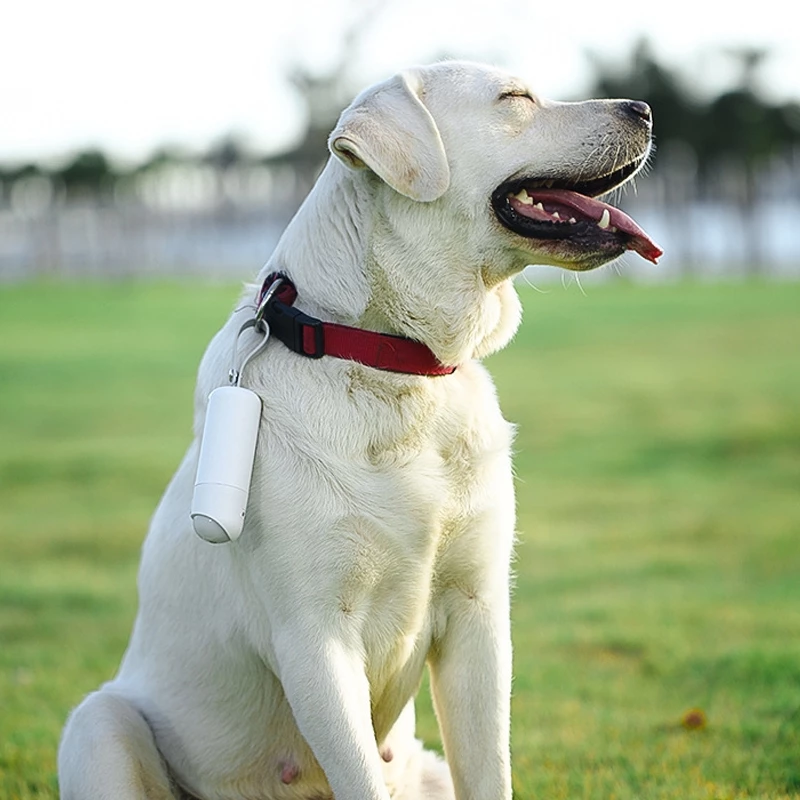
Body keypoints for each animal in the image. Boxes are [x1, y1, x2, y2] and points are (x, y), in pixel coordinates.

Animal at [59, 59, 660, 796]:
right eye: (515, 98)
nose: (644, 109)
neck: (390, 364)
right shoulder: (315, 638)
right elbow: (359, 773)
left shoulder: (478, 613)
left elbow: (490, 769)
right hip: (98, 722)